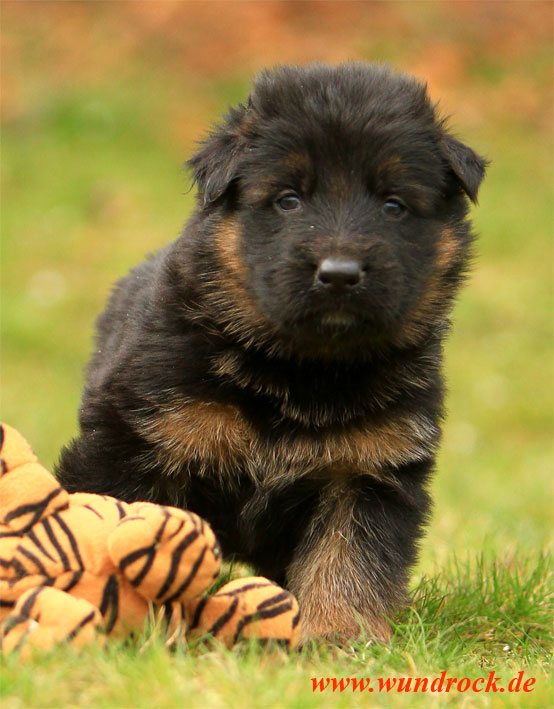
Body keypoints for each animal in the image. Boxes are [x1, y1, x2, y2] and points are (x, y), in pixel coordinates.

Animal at [56, 63, 486, 643]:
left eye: (393, 205)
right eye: (289, 200)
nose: (339, 273)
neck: (300, 370)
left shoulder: (369, 469)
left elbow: (347, 560)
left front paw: (337, 637)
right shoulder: (134, 439)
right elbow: (117, 528)